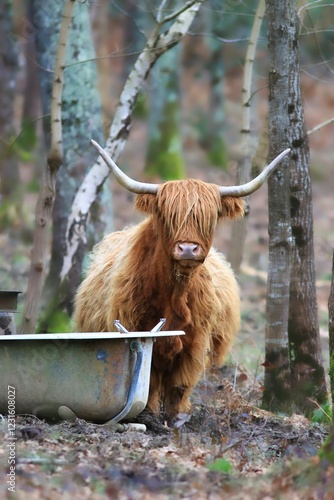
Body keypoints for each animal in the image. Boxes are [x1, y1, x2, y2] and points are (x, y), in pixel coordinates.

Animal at [73, 142, 290, 418]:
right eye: (168, 217)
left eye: (209, 218)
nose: (188, 248)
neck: (174, 293)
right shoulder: (138, 334)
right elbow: (149, 385)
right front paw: (151, 416)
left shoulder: (194, 345)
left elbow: (179, 387)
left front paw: (176, 419)